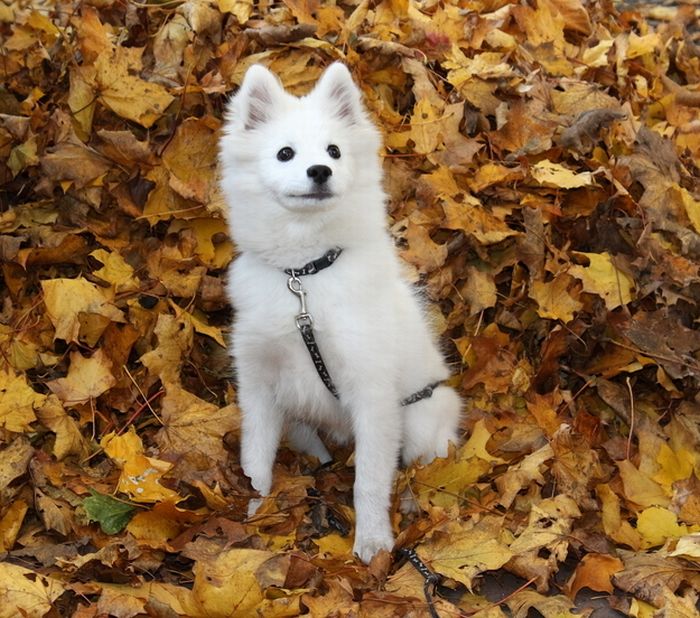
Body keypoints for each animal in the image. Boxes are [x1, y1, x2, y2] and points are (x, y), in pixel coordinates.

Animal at [217, 63, 460, 564]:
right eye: (285, 153)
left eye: (334, 151)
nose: (320, 170)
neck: (304, 277)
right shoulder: (259, 386)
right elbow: (256, 459)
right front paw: (256, 513)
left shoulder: (373, 394)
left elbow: (369, 480)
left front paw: (374, 541)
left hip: (421, 418)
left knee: (419, 467)